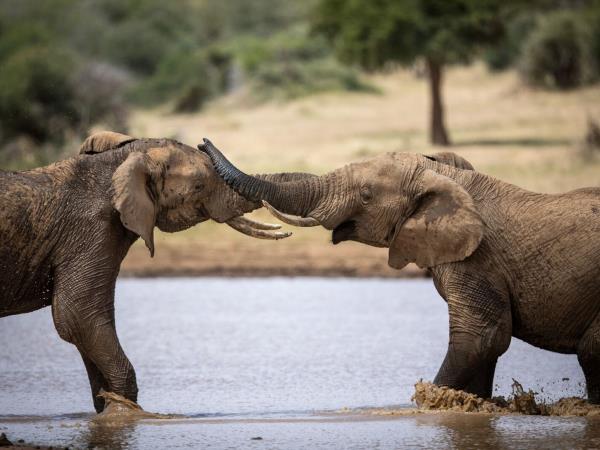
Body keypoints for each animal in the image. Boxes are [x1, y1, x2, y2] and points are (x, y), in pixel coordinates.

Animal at [0, 132, 310, 414]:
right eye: (199, 185)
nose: (204, 142)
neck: (116, 161)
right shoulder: (90, 231)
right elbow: (77, 315)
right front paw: (125, 412)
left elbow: (85, 324)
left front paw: (109, 410)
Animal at [199, 139, 600, 402]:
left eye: (365, 195)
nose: (203, 144)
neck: (449, 177)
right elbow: (487, 349)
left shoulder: (480, 260)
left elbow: (481, 338)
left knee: (590, 351)